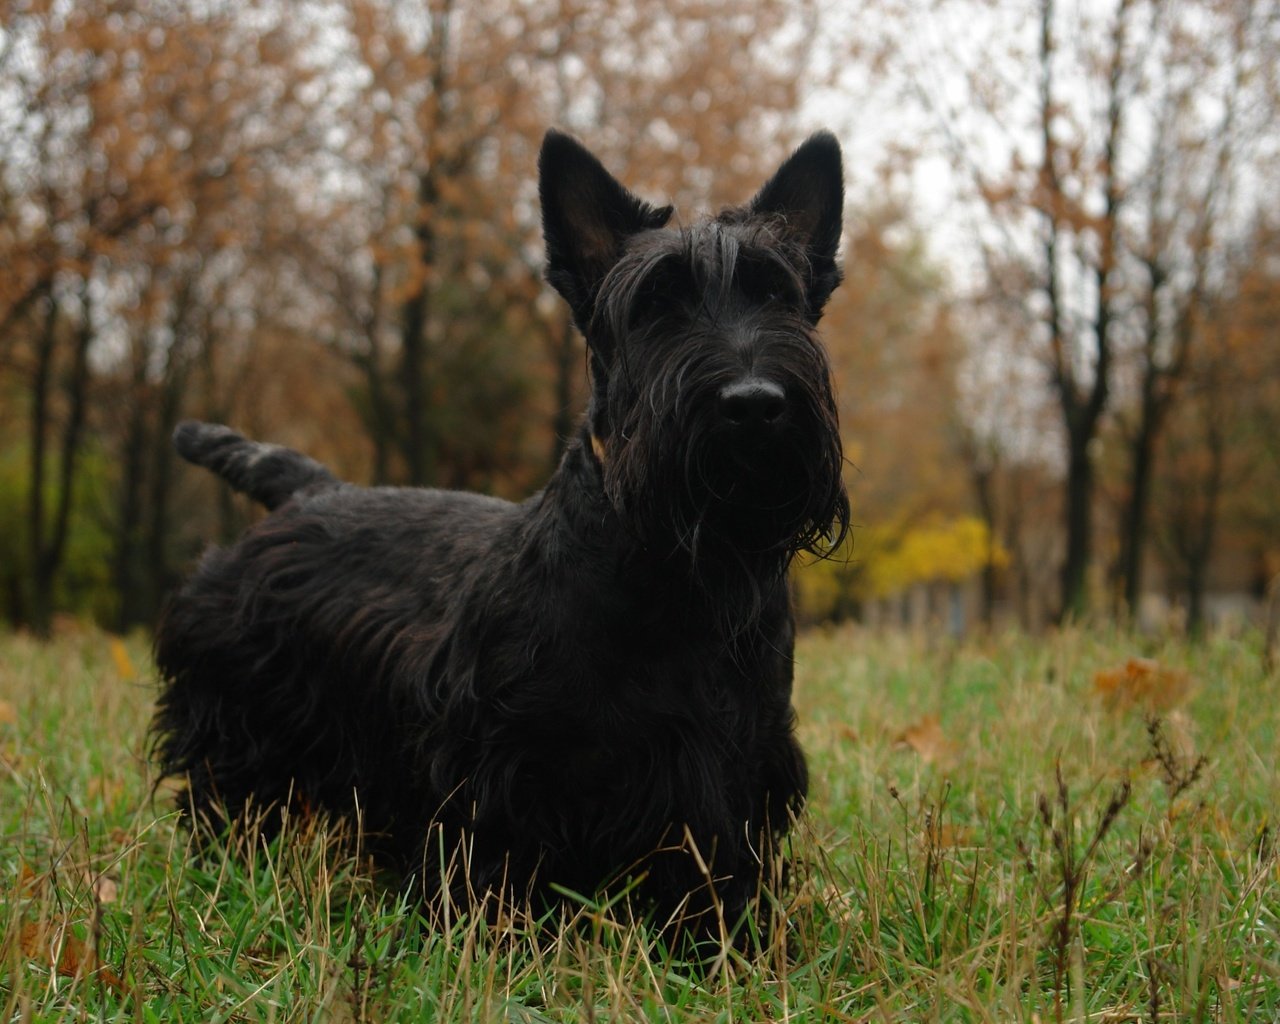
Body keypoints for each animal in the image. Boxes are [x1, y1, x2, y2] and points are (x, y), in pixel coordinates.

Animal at [152, 129, 849, 952]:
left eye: (777, 295)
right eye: (655, 305)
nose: (753, 403)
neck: (679, 573)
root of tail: (311, 490)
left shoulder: (738, 761)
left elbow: (719, 864)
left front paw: (722, 946)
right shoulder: (502, 763)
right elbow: (492, 860)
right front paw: (491, 939)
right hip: (239, 715)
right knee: (226, 792)